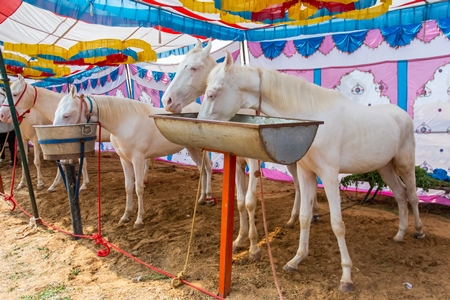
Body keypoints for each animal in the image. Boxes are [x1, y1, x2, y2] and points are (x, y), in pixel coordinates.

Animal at [52, 88, 214, 229]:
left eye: (66, 115)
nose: (54, 138)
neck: (124, 122)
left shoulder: (138, 160)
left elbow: (138, 188)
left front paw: (139, 220)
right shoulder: (124, 160)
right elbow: (128, 187)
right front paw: (125, 216)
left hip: (199, 148)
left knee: (208, 166)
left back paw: (208, 197)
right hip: (191, 148)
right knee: (201, 168)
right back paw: (201, 198)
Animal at [162, 39, 306, 260]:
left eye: (193, 68)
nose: (167, 101)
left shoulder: (253, 163)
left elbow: (250, 201)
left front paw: (254, 248)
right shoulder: (237, 161)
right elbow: (239, 202)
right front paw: (239, 239)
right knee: (299, 186)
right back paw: (294, 219)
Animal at [198, 50, 426, 292]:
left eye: (212, 94)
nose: (200, 127)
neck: (316, 119)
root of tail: (403, 115)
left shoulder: (329, 175)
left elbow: (337, 224)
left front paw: (346, 277)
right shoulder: (306, 172)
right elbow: (305, 217)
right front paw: (296, 260)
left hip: (404, 163)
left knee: (411, 195)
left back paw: (418, 231)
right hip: (385, 167)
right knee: (400, 194)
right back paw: (400, 234)